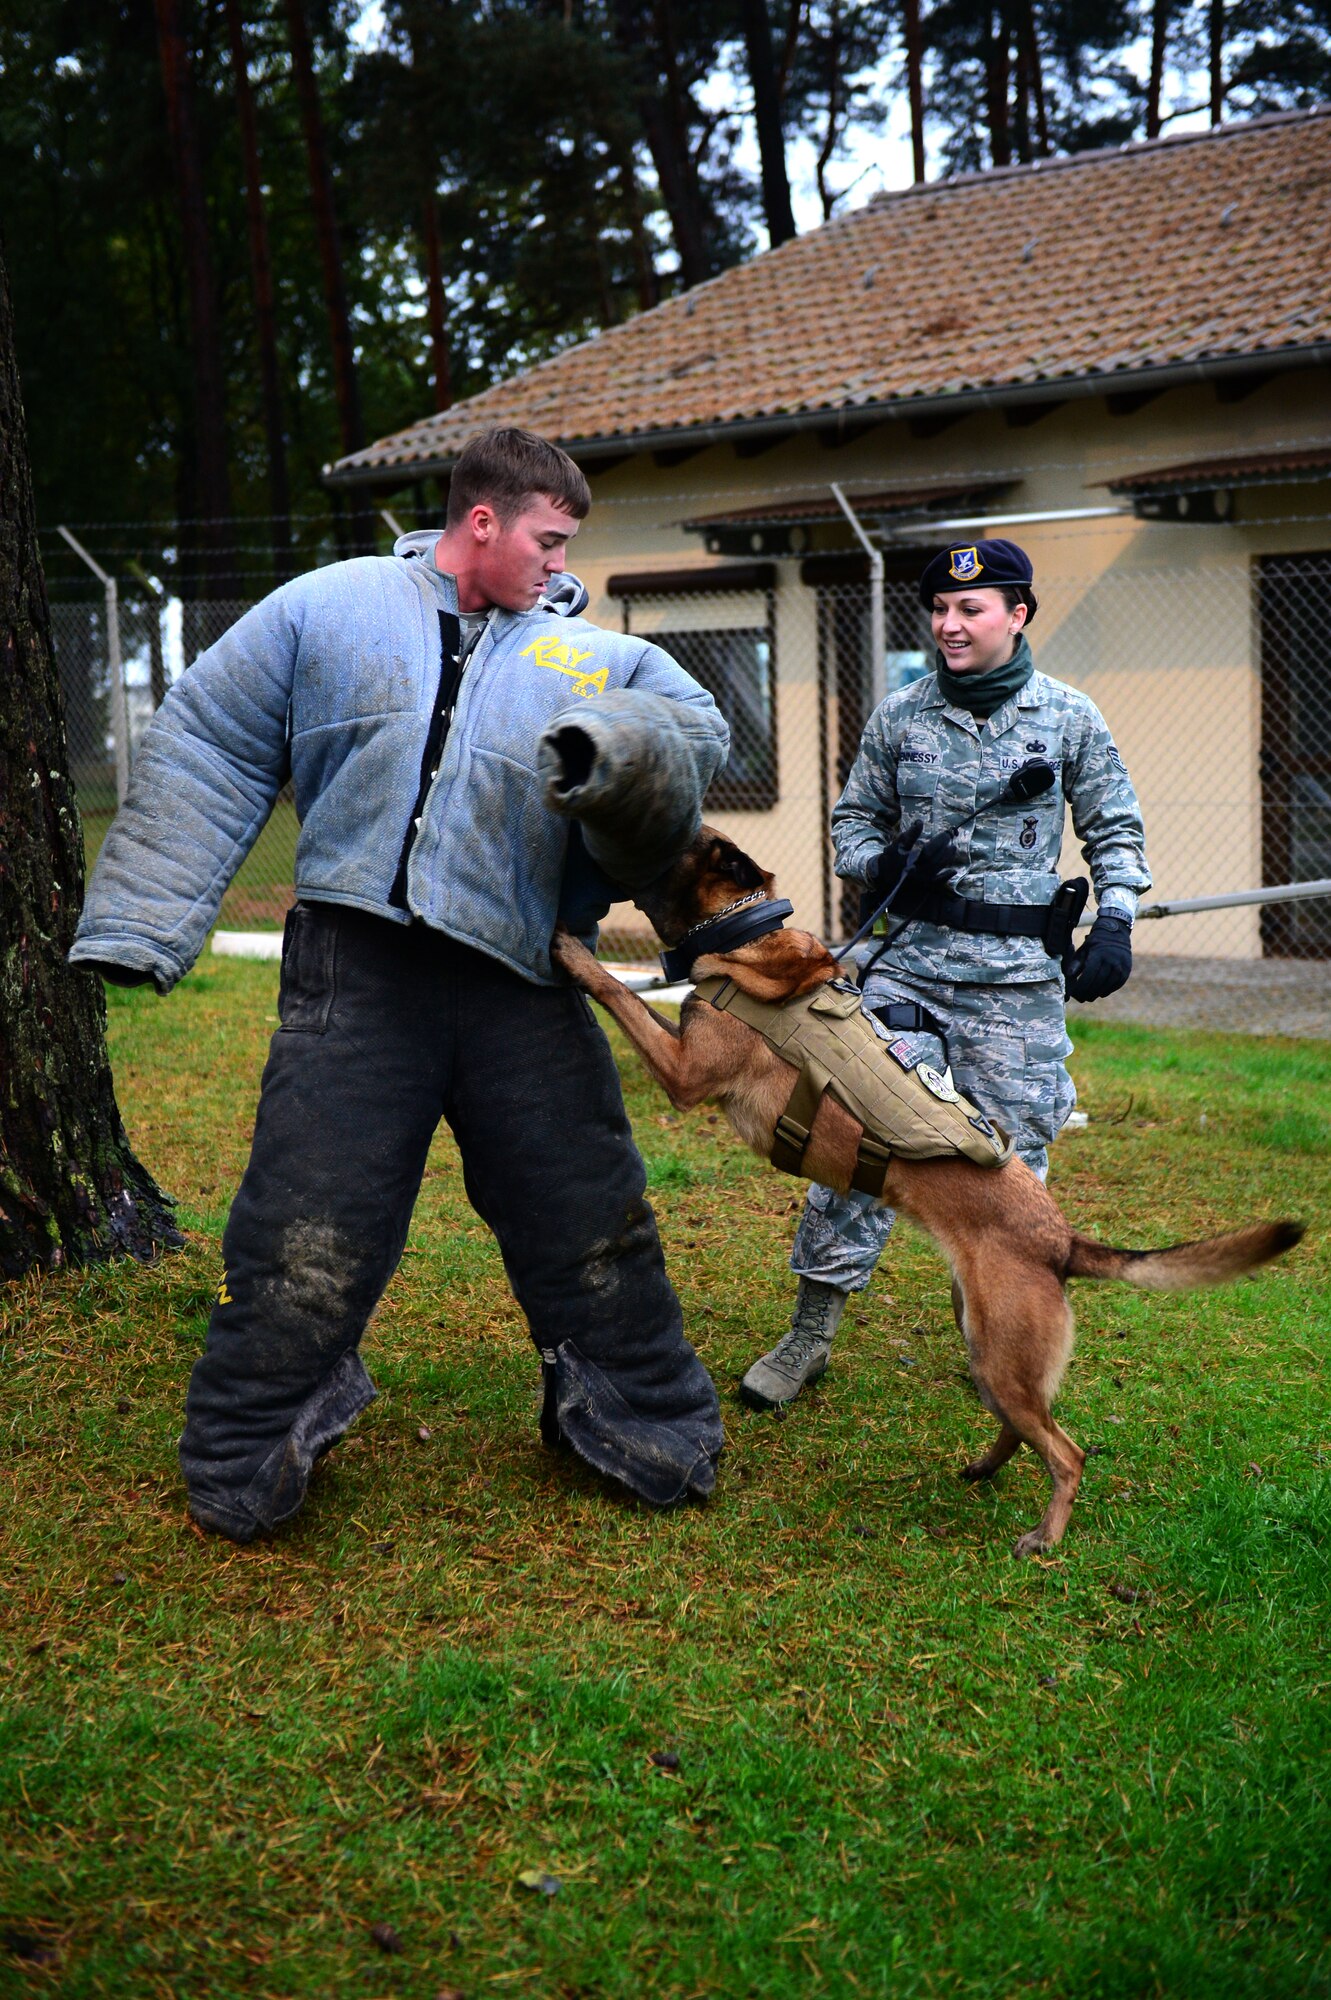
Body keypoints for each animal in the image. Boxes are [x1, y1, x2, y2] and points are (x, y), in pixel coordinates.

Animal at [547, 828, 1295, 1560]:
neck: (746, 935)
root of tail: (1060, 1239)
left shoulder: (683, 1071)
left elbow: (622, 996)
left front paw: (573, 954)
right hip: (987, 1346)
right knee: (1025, 1428)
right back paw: (983, 1469)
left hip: (1000, 1355)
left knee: (1067, 1452)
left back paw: (1044, 1537)